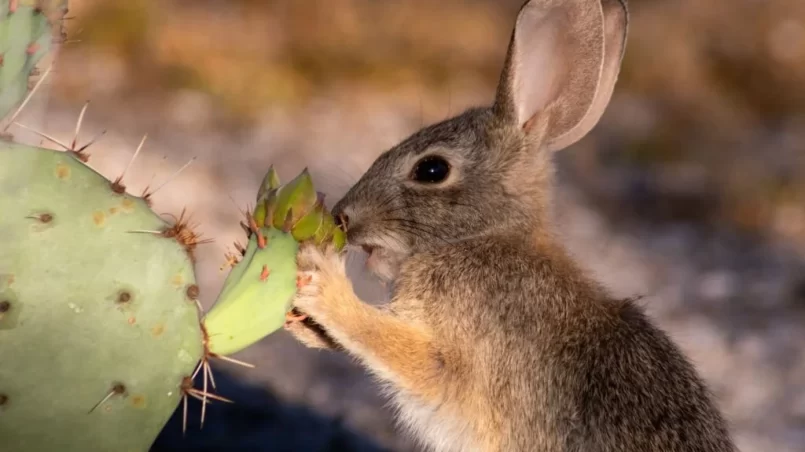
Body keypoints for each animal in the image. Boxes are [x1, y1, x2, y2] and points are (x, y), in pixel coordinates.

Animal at [282, 0, 736, 452]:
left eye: (432, 169)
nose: (343, 215)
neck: (486, 235)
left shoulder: (460, 357)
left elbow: (395, 347)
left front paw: (324, 287)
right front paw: (302, 324)